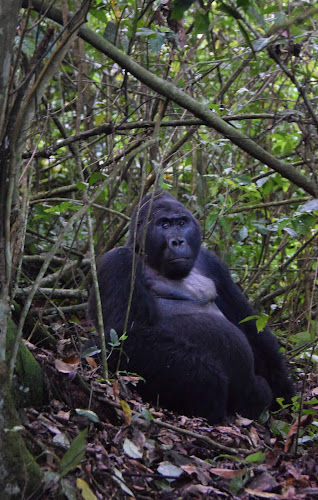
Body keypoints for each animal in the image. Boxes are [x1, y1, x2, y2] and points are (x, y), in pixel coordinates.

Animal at [87, 191, 294, 422]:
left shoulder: (211, 262)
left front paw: (284, 388)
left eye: (181, 222)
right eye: (164, 225)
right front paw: (212, 386)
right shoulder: (118, 261)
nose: (178, 241)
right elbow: (125, 333)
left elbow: (247, 322)